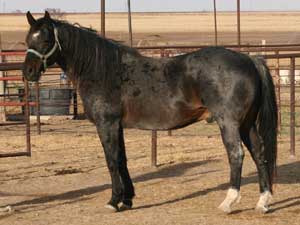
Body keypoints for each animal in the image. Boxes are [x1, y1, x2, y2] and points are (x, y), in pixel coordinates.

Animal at [22, 11, 278, 213]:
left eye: (46, 39)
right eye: (28, 39)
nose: (28, 72)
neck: (102, 70)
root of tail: (249, 59)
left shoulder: (106, 124)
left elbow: (111, 160)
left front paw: (113, 201)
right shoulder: (117, 125)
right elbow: (122, 160)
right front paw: (127, 199)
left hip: (229, 123)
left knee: (236, 155)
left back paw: (228, 202)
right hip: (246, 124)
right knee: (259, 153)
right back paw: (263, 202)